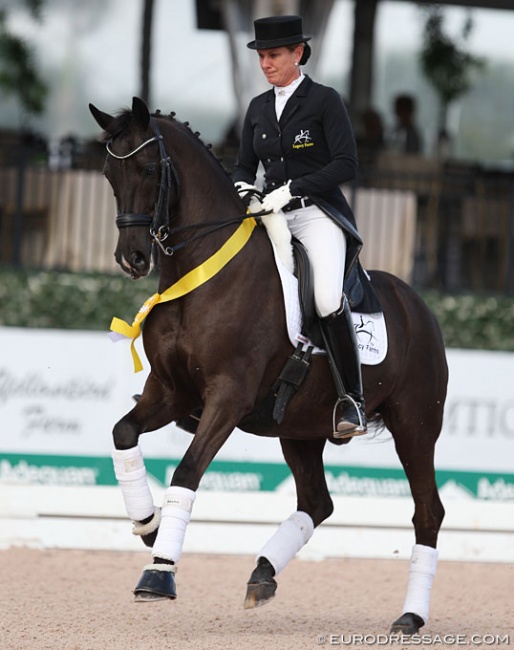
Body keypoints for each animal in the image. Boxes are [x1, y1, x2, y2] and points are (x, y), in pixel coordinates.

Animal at [90, 98, 446, 636]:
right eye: (110, 174)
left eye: (150, 169)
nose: (131, 259)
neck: (203, 270)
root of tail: (419, 306)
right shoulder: (170, 392)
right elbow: (122, 433)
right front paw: (149, 527)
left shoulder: (228, 397)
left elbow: (187, 472)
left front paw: (159, 573)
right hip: (299, 427)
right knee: (317, 502)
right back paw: (262, 574)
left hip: (415, 428)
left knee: (427, 513)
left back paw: (410, 616)